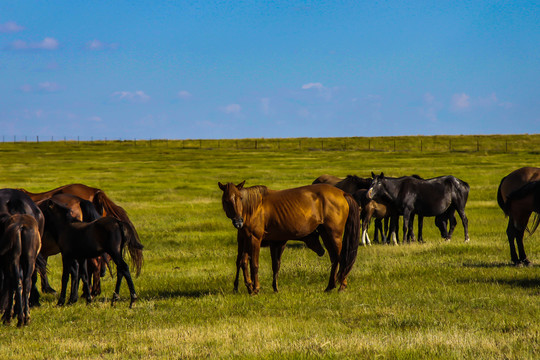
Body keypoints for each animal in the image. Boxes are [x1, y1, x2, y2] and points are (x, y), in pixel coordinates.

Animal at [217, 181, 360, 294]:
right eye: (226, 200)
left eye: (240, 198)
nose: (238, 222)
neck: (253, 208)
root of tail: (342, 193)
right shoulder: (248, 240)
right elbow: (246, 262)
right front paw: (250, 287)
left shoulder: (255, 239)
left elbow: (254, 264)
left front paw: (255, 288)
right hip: (326, 234)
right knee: (334, 259)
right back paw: (330, 286)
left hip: (334, 234)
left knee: (341, 258)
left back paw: (341, 285)